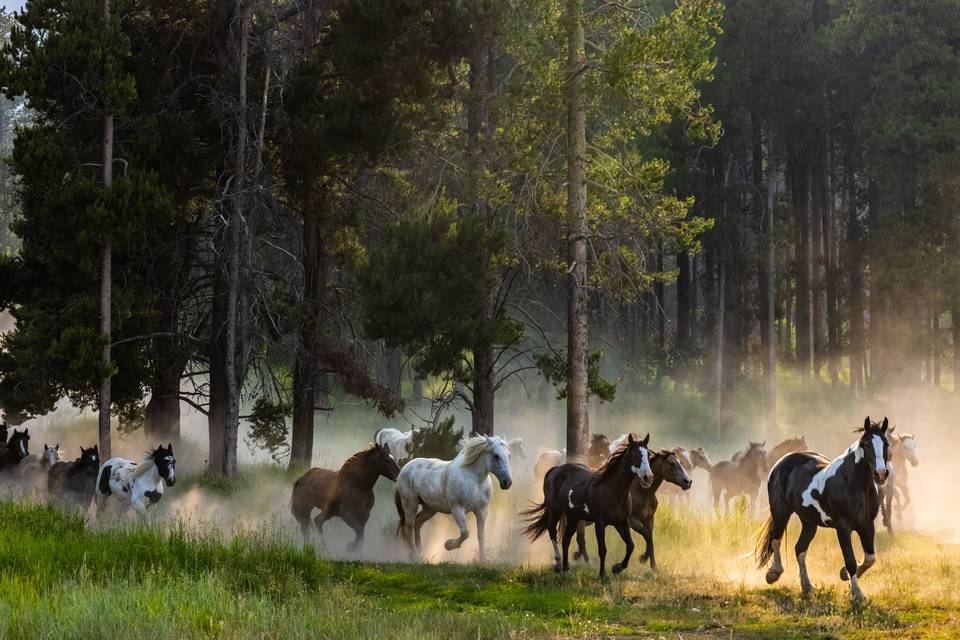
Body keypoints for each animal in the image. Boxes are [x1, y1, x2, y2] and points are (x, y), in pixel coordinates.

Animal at [520, 432, 656, 576]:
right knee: (552, 532)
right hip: (555, 511)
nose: (648, 477)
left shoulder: (622, 522)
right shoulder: (600, 523)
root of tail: (554, 470)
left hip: (573, 518)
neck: (611, 490)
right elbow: (602, 549)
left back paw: (566, 569)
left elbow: (630, 546)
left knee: (566, 540)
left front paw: (617, 568)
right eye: (634, 454)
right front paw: (602, 575)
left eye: (648, 454)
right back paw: (558, 563)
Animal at [756, 418, 892, 604]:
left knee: (799, 549)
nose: (880, 474)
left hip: (809, 522)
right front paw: (857, 594)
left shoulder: (867, 525)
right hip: (781, 512)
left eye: (885, 443)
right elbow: (850, 560)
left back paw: (807, 586)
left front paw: (843, 574)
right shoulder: (843, 527)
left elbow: (870, 558)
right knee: (776, 539)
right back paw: (773, 574)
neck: (853, 483)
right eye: (866, 444)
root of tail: (780, 463)